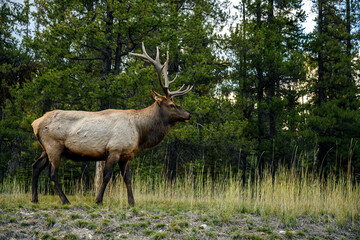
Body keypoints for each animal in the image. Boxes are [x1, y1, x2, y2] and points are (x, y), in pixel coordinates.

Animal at [30, 42, 193, 204]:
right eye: (172, 105)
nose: (188, 114)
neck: (140, 132)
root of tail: (35, 123)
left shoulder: (126, 155)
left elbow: (128, 179)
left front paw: (132, 202)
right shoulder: (114, 149)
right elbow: (106, 177)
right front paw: (98, 200)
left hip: (45, 149)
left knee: (36, 166)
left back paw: (34, 198)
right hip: (54, 146)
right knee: (52, 174)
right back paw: (65, 200)